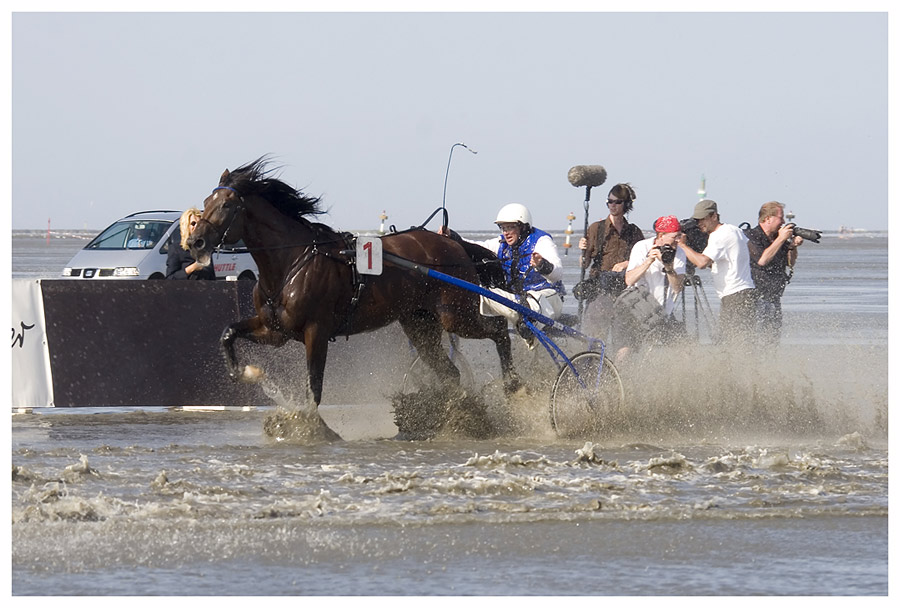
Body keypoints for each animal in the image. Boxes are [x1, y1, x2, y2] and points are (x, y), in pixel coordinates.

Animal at [186, 157, 516, 422]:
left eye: (226, 205)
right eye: (205, 202)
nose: (194, 242)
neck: (291, 262)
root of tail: (453, 243)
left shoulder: (316, 331)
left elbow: (314, 385)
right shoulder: (274, 330)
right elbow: (228, 332)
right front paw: (244, 373)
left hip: (456, 314)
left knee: (500, 329)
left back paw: (513, 385)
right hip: (419, 324)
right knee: (451, 372)